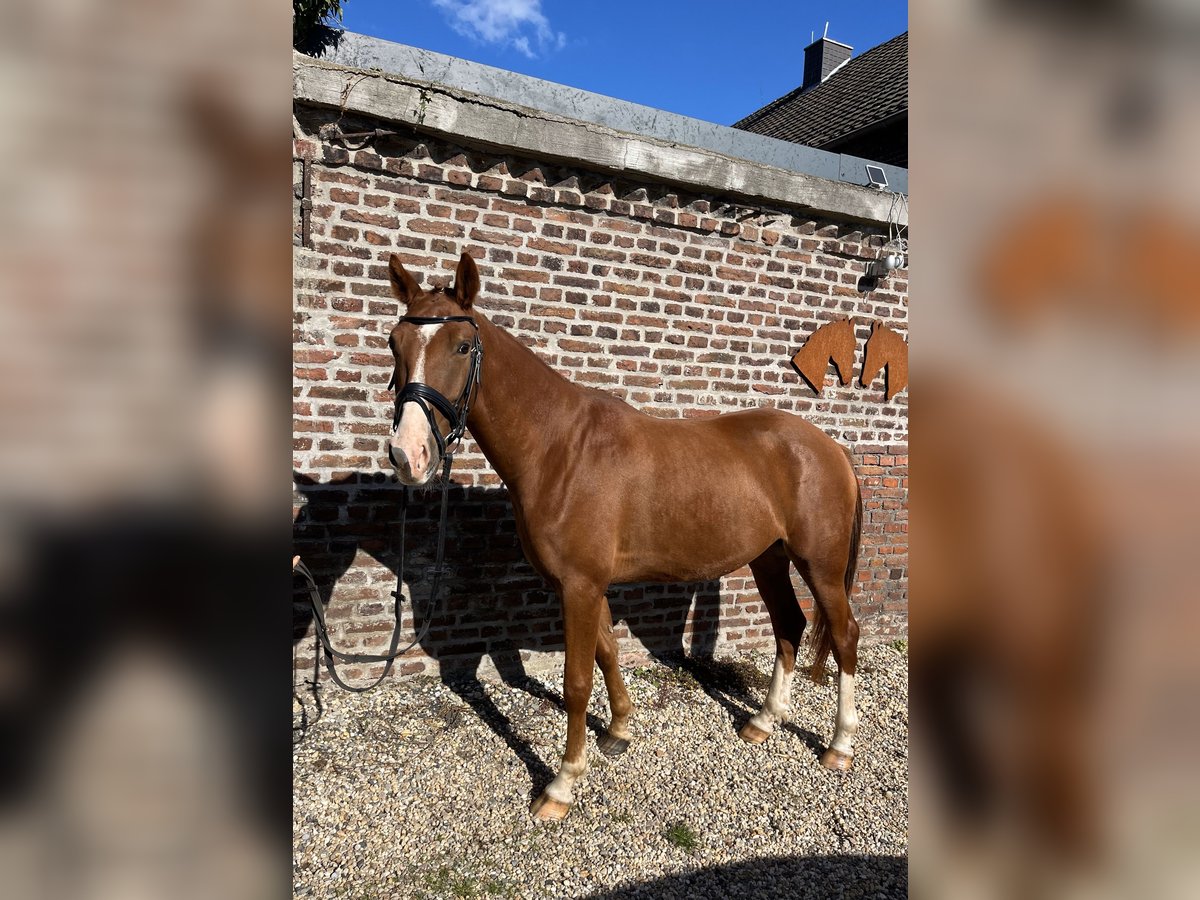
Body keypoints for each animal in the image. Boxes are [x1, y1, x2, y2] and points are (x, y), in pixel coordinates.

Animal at [384, 254, 864, 825]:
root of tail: (831, 447)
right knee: (789, 626)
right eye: (394, 343)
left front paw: (562, 785)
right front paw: (618, 732)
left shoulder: (580, 586)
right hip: (769, 559)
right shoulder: (585, 585)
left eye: (461, 346)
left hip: (821, 567)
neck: (560, 449)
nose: (406, 456)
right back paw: (763, 722)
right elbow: (608, 653)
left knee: (844, 636)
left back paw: (839, 746)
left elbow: (576, 682)